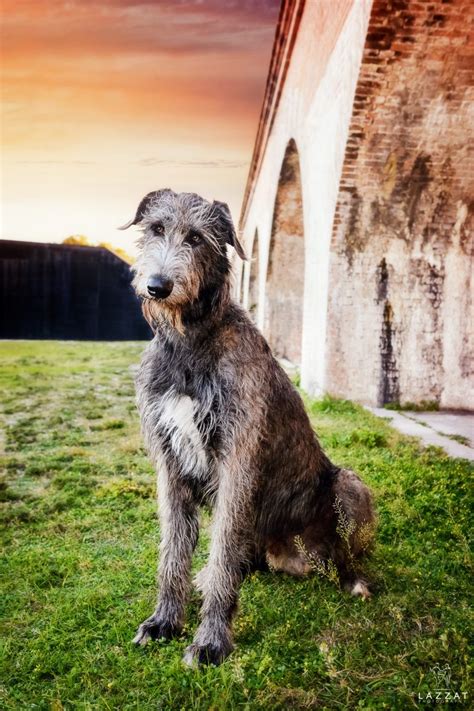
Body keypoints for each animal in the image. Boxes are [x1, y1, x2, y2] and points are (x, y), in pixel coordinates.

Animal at [119, 188, 374, 668]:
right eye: (156, 228)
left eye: (196, 238)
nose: (157, 286)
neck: (190, 342)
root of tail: (298, 557)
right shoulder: (169, 462)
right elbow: (173, 550)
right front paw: (164, 621)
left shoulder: (236, 460)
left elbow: (222, 557)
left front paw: (210, 641)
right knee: (242, 560)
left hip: (349, 487)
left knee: (341, 552)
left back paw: (355, 580)